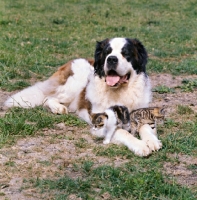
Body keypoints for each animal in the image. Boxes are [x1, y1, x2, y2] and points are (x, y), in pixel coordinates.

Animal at [4, 37, 162, 156]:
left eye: (126, 53)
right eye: (107, 53)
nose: (111, 59)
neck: (120, 91)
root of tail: (72, 60)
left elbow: (145, 125)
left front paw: (152, 141)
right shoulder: (101, 122)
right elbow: (123, 131)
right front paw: (140, 145)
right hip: (75, 82)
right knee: (47, 98)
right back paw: (58, 108)